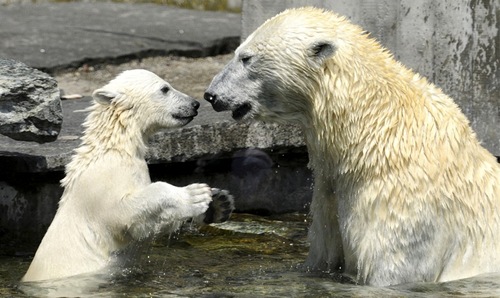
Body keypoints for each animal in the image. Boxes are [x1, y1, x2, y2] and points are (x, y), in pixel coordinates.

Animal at [23, 69, 234, 282]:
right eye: (164, 88)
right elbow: (124, 214)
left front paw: (219, 203)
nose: (195, 103)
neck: (117, 146)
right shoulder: (103, 186)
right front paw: (194, 195)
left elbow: (149, 225)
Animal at [203, 7, 500, 286]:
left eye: (246, 58)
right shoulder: (330, 194)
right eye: (237, 53)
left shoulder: (402, 206)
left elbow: (391, 267)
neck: (372, 132)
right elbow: (321, 258)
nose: (211, 94)